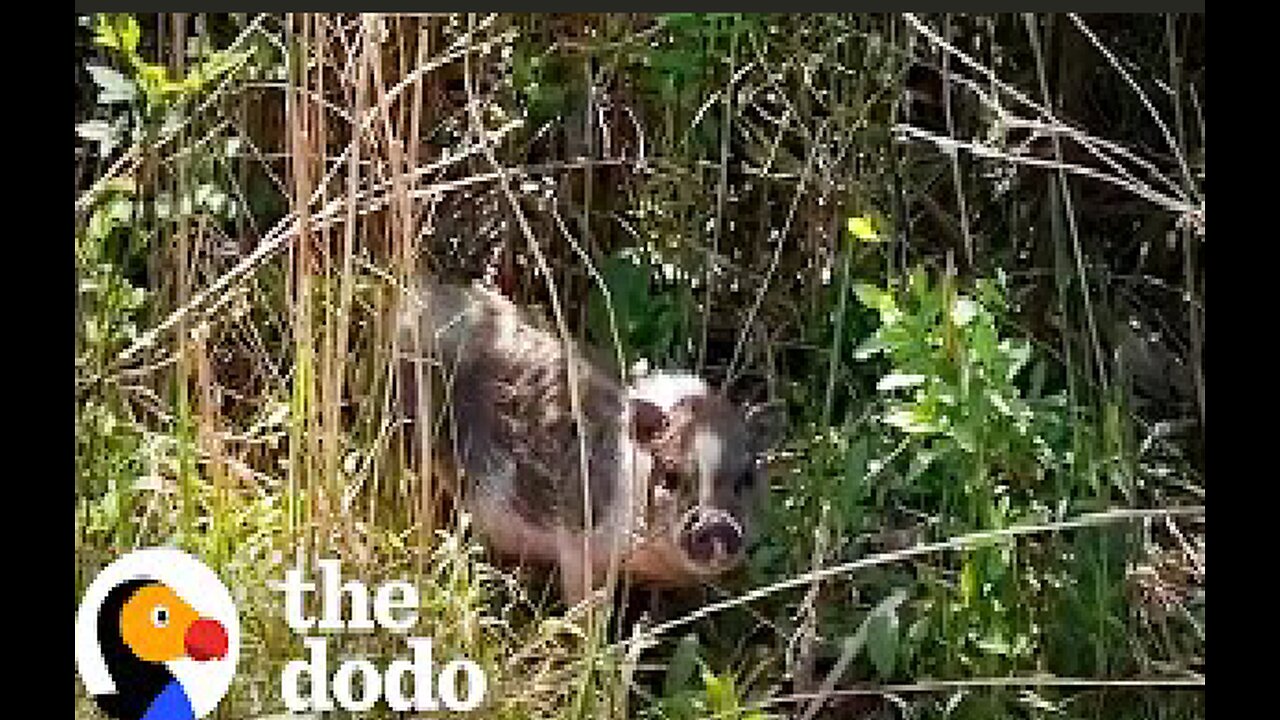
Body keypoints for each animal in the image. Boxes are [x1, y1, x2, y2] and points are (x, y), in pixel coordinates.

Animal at [394, 278, 783, 602]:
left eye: (748, 477)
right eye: (671, 477)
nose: (716, 524)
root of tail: (414, 299)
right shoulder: (578, 535)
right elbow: (585, 604)